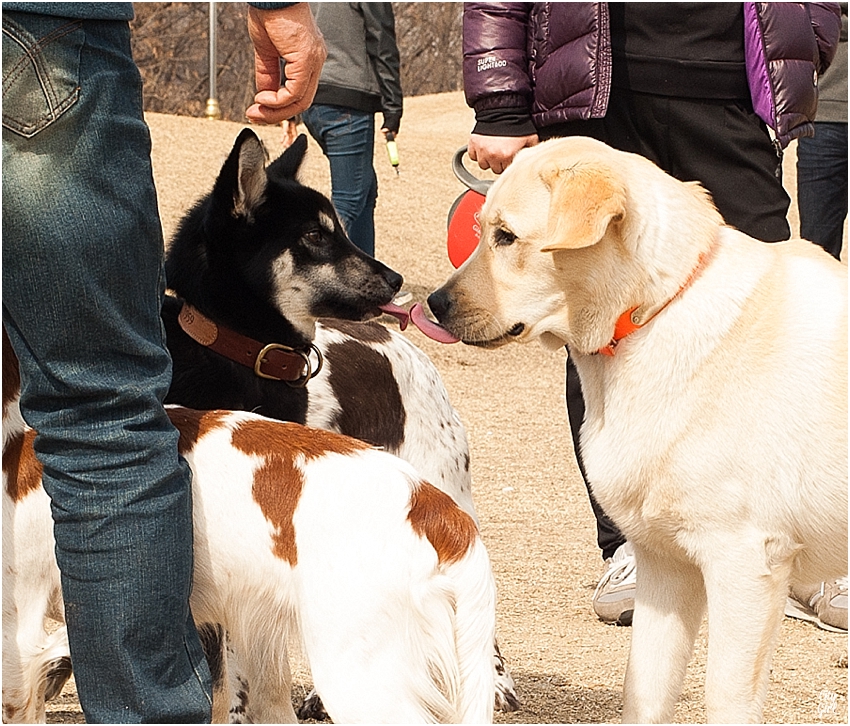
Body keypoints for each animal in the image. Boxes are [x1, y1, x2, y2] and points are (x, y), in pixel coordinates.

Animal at [430, 138, 848, 726]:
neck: (656, 312)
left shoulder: (745, 565)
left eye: (506, 236)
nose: (434, 305)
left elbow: (724, 698)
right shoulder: (663, 567)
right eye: (479, 228)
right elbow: (643, 692)